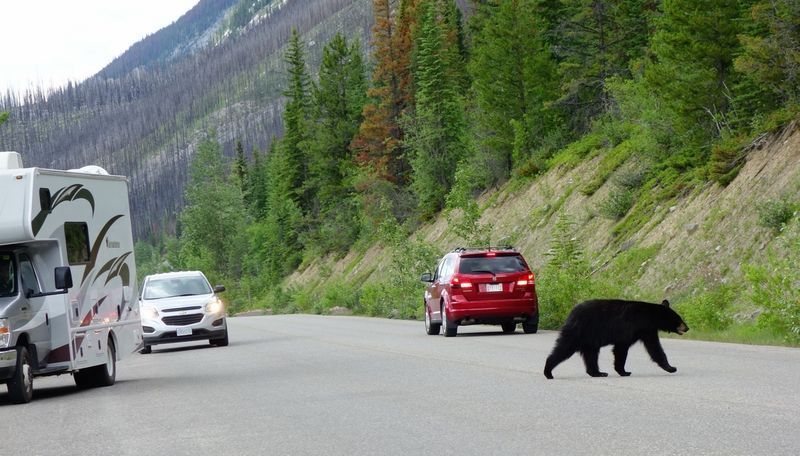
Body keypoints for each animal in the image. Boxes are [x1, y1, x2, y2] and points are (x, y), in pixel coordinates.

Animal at [544, 298, 688, 380]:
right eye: (679, 319)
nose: (687, 328)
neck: (648, 317)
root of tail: (571, 314)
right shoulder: (630, 329)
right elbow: (621, 349)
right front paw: (624, 371)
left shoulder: (647, 331)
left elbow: (654, 348)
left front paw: (670, 367)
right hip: (578, 332)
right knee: (564, 348)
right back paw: (548, 372)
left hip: (589, 340)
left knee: (591, 355)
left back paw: (598, 373)